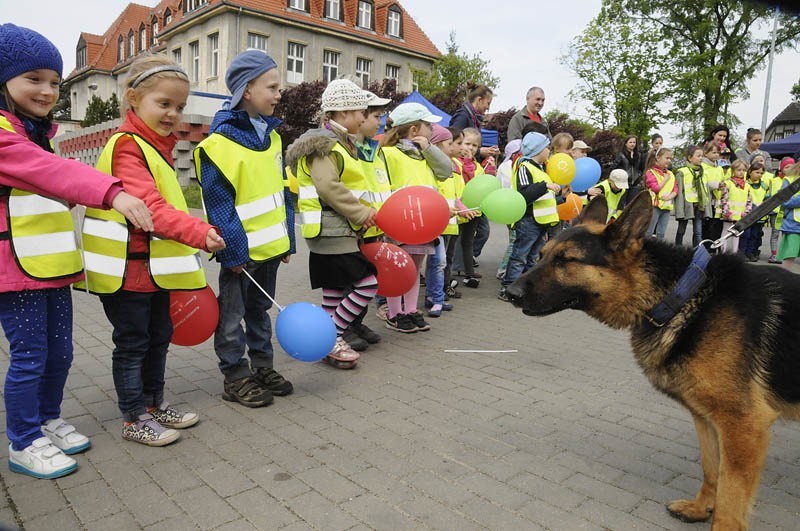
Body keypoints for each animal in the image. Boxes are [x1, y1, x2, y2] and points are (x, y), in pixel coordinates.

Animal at [506, 192, 800, 531]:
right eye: (542, 255)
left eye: (565, 260)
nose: (509, 292)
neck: (681, 295)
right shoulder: (707, 419)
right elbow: (711, 468)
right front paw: (701, 508)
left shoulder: (743, 426)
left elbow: (730, 495)